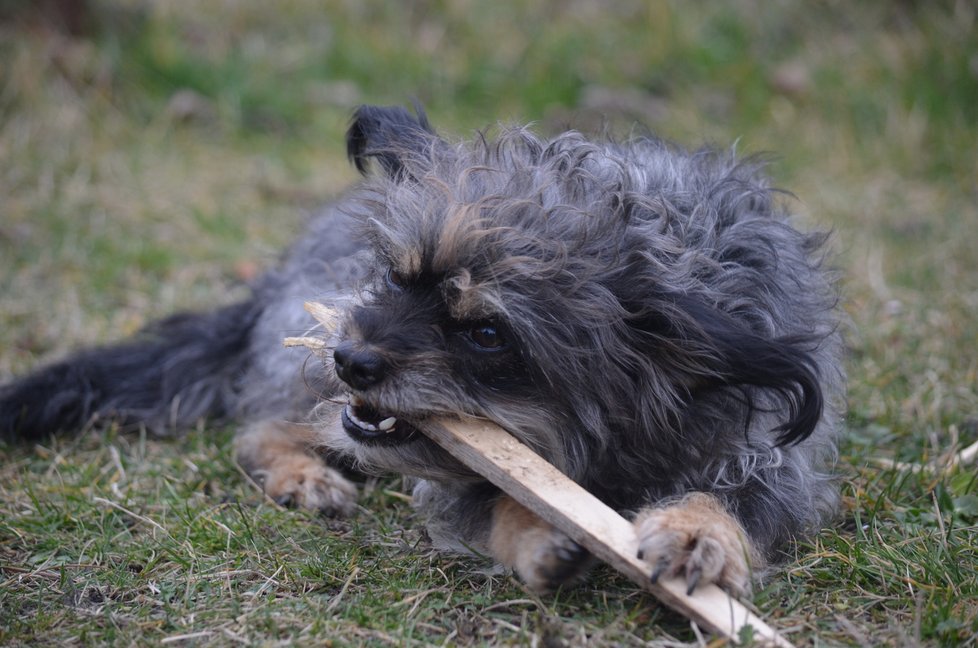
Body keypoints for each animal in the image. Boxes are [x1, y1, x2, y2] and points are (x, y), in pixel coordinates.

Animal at [0, 106, 844, 596]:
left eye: (486, 333)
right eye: (397, 277)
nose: (351, 361)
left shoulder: (768, 458)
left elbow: (736, 497)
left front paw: (698, 532)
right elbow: (495, 498)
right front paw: (540, 528)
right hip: (304, 363)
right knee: (264, 426)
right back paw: (305, 475)